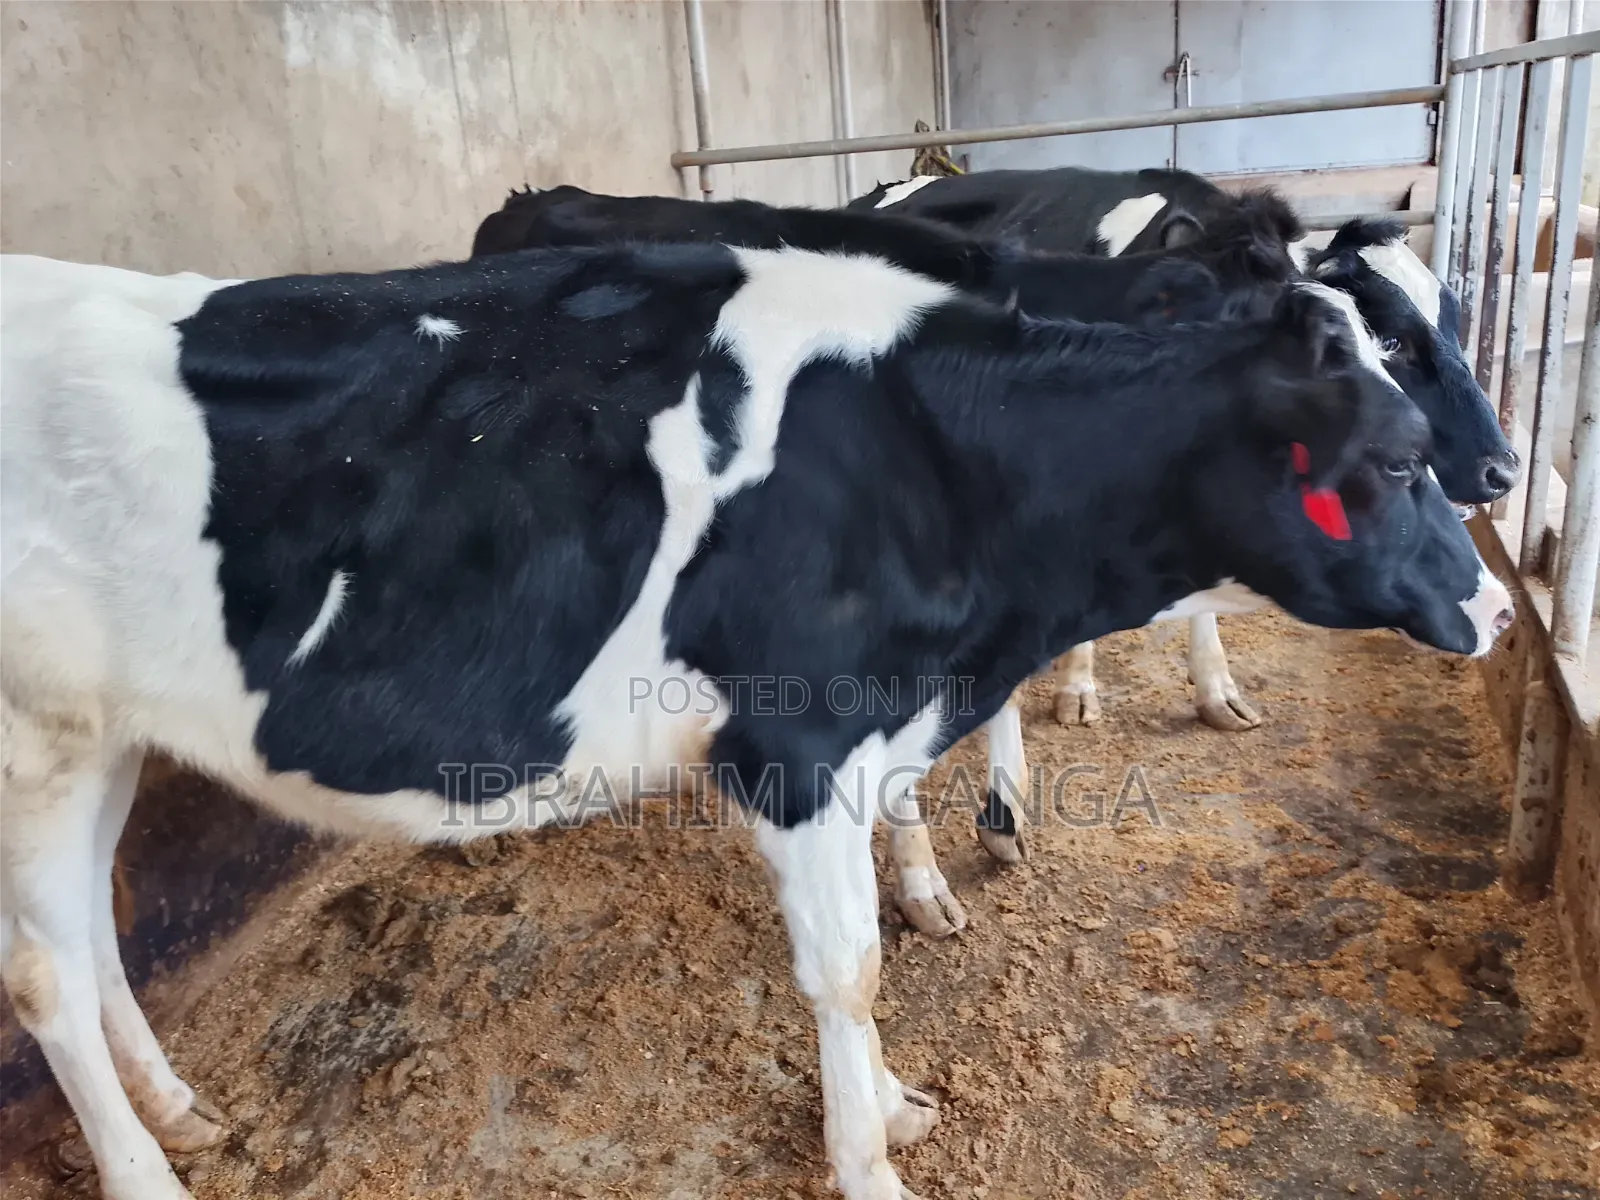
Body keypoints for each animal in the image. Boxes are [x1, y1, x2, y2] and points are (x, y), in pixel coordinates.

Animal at [1, 245, 1512, 1200]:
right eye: (1391, 458)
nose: (1498, 606)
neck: (928, 460)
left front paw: (891, 1105)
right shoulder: (796, 749)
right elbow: (845, 972)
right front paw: (869, 1158)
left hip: (112, 737)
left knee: (94, 940)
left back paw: (185, 1114)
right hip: (34, 749)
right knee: (45, 983)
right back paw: (144, 1175)